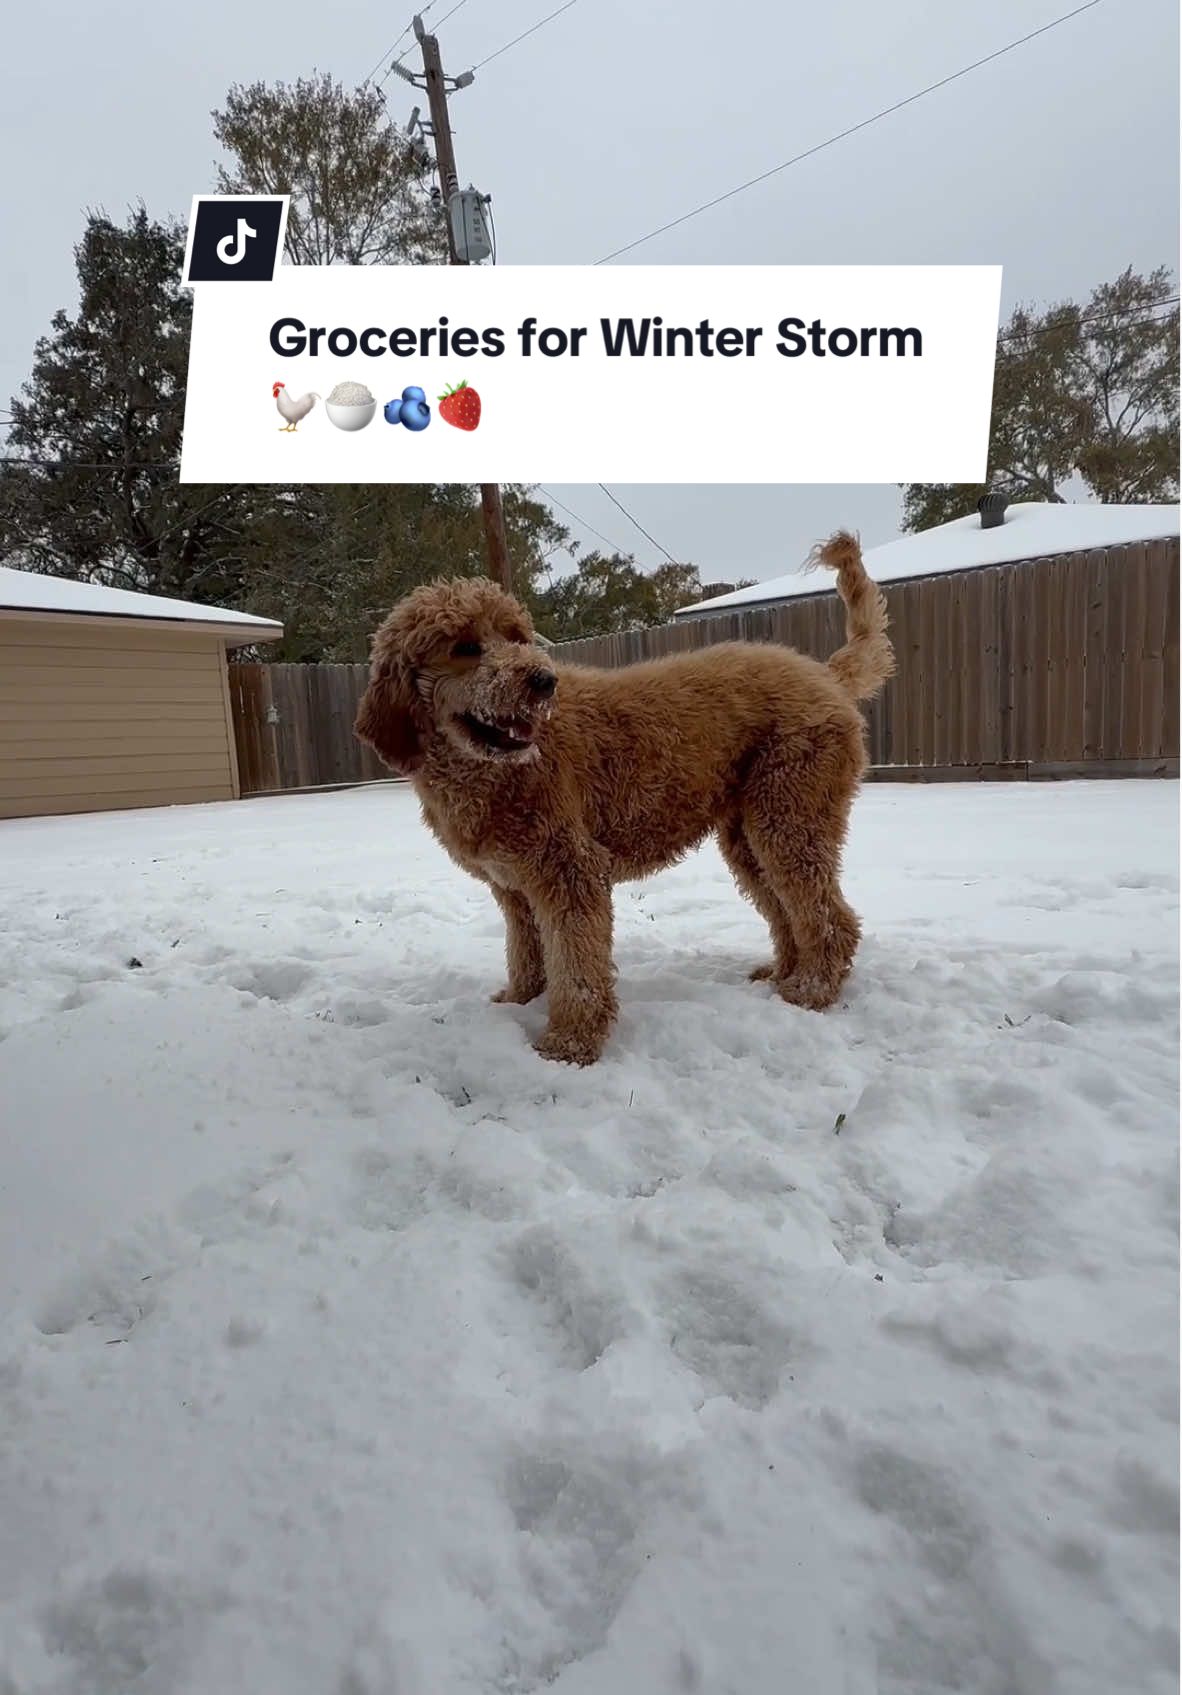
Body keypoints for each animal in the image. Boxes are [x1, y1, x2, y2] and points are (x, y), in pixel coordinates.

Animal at [354, 532, 888, 1057]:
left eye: (516, 636)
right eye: (464, 646)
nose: (543, 681)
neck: (492, 772)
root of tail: (825, 674)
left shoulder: (569, 870)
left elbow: (577, 965)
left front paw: (570, 1041)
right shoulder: (514, 888)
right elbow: (526, 953)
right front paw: (521, 1001)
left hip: (789, 817)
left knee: (830, 919)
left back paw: (812, 990)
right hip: (751, 837)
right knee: (789, 912)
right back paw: (783, 975)